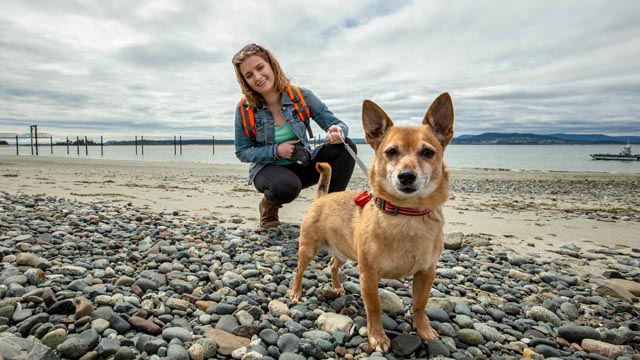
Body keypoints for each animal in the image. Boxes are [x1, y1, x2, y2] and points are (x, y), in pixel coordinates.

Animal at [290, 92, 456, 352]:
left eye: (428, 153)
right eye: (391, 152)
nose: (406, 176)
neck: (407, 214)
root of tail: (323, 196)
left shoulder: (427, 273)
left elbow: (420, 305)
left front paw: (425, 331)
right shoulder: (368, 275)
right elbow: (374, 307)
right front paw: (377, 337)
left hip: (343, 251)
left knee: (333, 265)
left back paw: (337, 286)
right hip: (307, 249)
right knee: (299, 270)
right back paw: (296, 292)